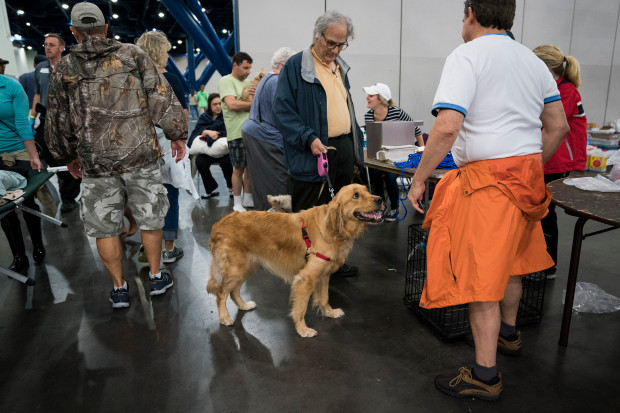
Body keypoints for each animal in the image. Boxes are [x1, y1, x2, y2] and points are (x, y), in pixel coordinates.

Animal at [208, 183, 382, 334]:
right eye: (356, 195)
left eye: (367, 190)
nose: (380, 199)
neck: (331, 228)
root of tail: (218, 225)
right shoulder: (305, 278)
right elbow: (301, 308)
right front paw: (303, 330)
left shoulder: (324, 275)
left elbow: (324, 298)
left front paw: (329, 312)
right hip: (236, 269)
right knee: (221, 294)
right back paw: (225, 318)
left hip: (246, 267)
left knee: (233, 291)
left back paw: (243, 305)